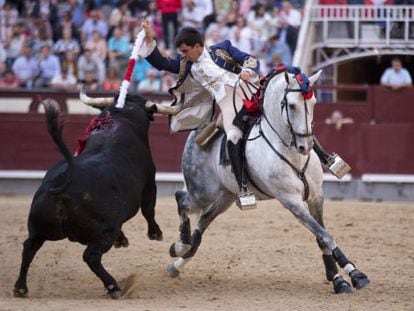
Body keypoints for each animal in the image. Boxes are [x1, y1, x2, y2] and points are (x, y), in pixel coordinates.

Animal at [13, 95, 162, 300]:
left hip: (39, 227)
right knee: (91, 256)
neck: (121, 117)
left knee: (29, 247)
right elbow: (149, 209)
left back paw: (20, 288)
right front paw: (155, 234)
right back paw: (113, 287)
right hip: (105, 231)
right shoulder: (149, 183)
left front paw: (123, 240)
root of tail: (62, 181)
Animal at [167, 69, 370, 294]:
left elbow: (321, 236)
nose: (306, 146)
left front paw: (339, 278)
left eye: (314, 102)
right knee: (181, 199)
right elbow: (324, 235)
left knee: (203, 219)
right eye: (292, 105)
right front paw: (354, 275)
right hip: (202, 191)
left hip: (226, 195)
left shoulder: (316, 196)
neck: (291, 154)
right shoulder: (291, 200)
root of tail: (198, 130)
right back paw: (181, 245)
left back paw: (177, 262)